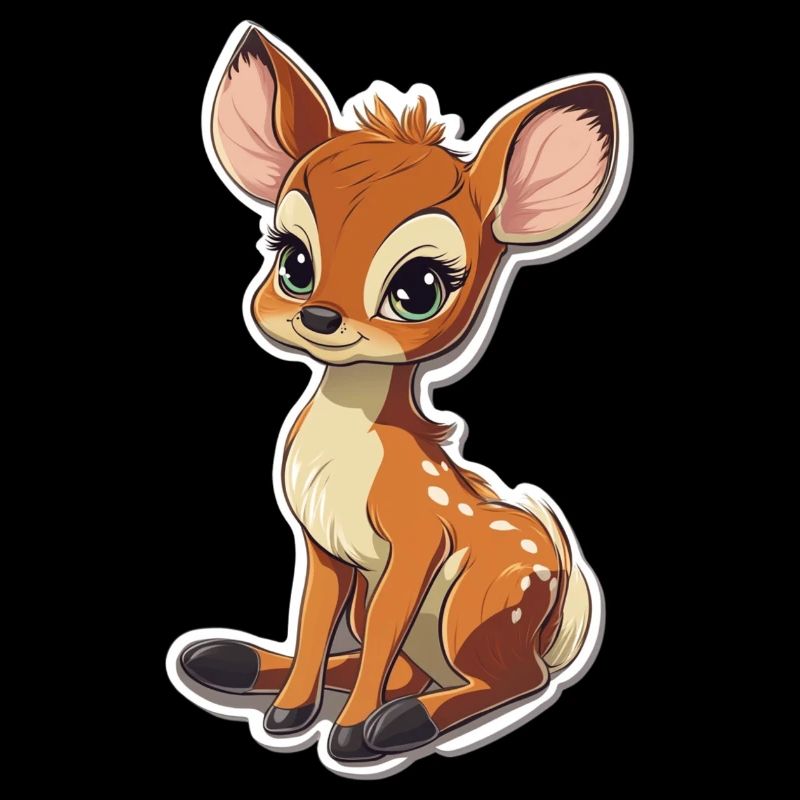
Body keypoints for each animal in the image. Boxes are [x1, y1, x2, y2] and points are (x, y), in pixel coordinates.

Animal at [173, 22, 630, 769]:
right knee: (398, 664)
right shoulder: (323, 548)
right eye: (293, 260)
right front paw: (289, 714)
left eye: (419, 288)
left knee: (512, 678)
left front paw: (352, 733)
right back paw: (229, 661)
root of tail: (556, 622)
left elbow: (383, 634)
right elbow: (315, 622)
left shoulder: (417, 543)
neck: (349, 448)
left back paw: (402, 724)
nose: (320, 317)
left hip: (481, 597)